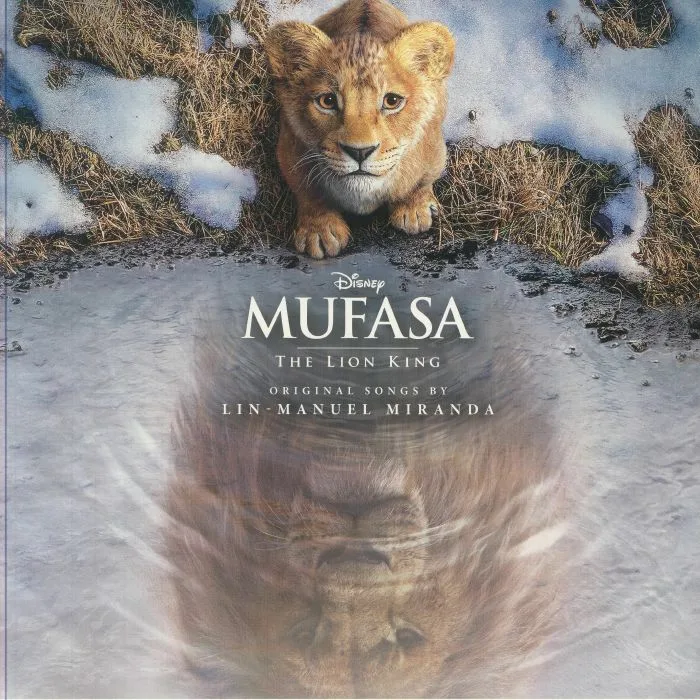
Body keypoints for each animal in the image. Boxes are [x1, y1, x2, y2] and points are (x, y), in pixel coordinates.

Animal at [264, 0, 456, 259]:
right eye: (327, 101)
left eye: (392, 101)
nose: (359, 152)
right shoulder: (289, 149)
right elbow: (308, 192)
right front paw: (319, 231)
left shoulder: (434, 149)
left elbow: (420, 181)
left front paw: (414, 209)